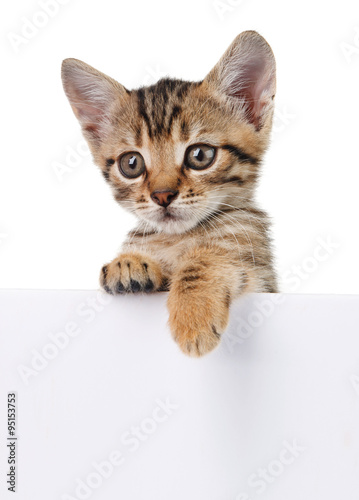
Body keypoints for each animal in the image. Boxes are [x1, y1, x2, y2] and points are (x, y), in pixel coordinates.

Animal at [61, 30, 278, 356]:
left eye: (200, 155)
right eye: (131, 164)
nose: (162, 195)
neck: (177, 239)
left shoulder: (262, 280)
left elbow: (207, 259)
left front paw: (193, 315)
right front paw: (128, 262)